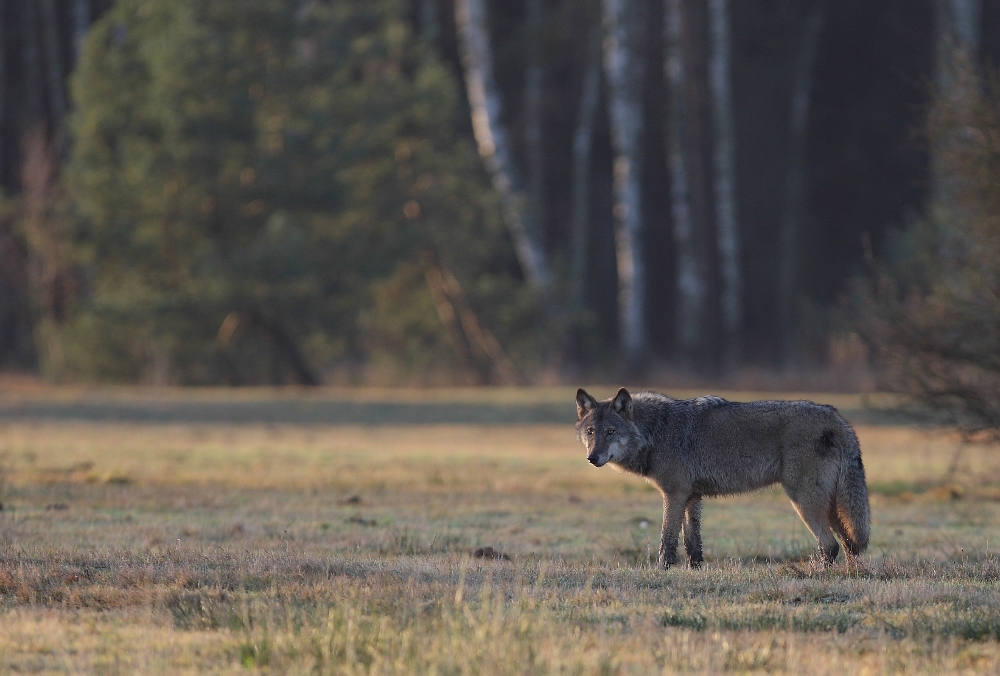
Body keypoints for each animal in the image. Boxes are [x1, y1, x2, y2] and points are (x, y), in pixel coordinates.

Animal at [576, 388, 872, 568]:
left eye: (611, 432)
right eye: (591, 432)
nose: (592, 458)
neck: (657, 432)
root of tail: (838, 419)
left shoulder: (674, 494)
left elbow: (667, 541)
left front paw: (662, 570)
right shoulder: (692, 496)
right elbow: (692, 543)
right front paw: (695, 571)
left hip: (804, 502)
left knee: (830, 545)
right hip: (831, 507)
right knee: (849, 545)